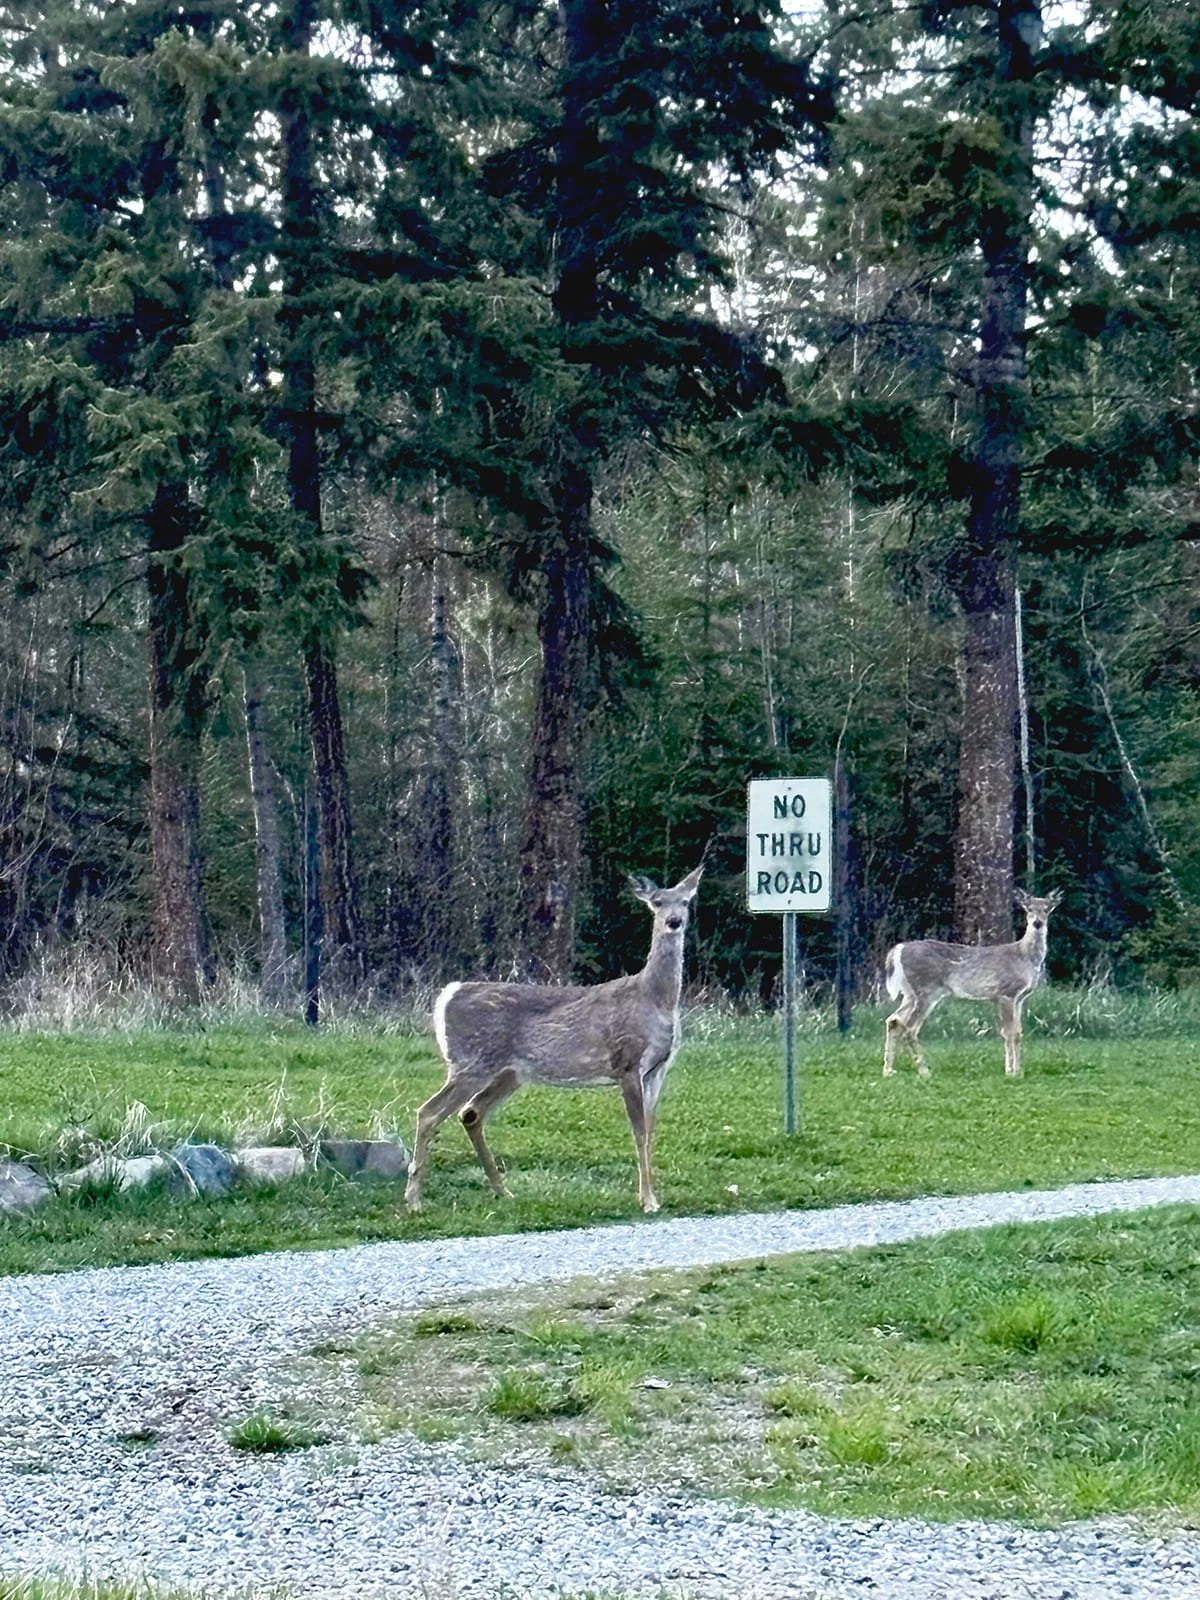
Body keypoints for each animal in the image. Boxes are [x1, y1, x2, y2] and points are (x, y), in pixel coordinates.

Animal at [405, 866, 703, 1215]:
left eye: (685, 901)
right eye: (657, 902)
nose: (674, 921)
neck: (655, 1000)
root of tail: (447, 995)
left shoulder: (657, 1070)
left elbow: (651, 1131)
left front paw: (652, 1196)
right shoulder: (627, 1062)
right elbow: (639, 1131)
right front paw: (647, 1201)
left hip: (510, 1072)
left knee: (470, 1113)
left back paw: (503, 1192)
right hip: (471, 1062)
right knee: (428, 1112)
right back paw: (414, 1199)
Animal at [883, 889, 1062, 1079]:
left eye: (1047, 908)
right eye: (1028, 908)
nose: (1037, 923)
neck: (1024, 957)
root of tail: (898, 950)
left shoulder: (1019, 998)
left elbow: (1018, 1033)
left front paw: (1018, 1071)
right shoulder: (1006, 992)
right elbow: (1009, 1033)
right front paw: (1010, 1072)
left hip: (910, 993)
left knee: (893, 1020)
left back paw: (888, 1070)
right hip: (927, 989)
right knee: (910, 1028)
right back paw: (924, 1071)